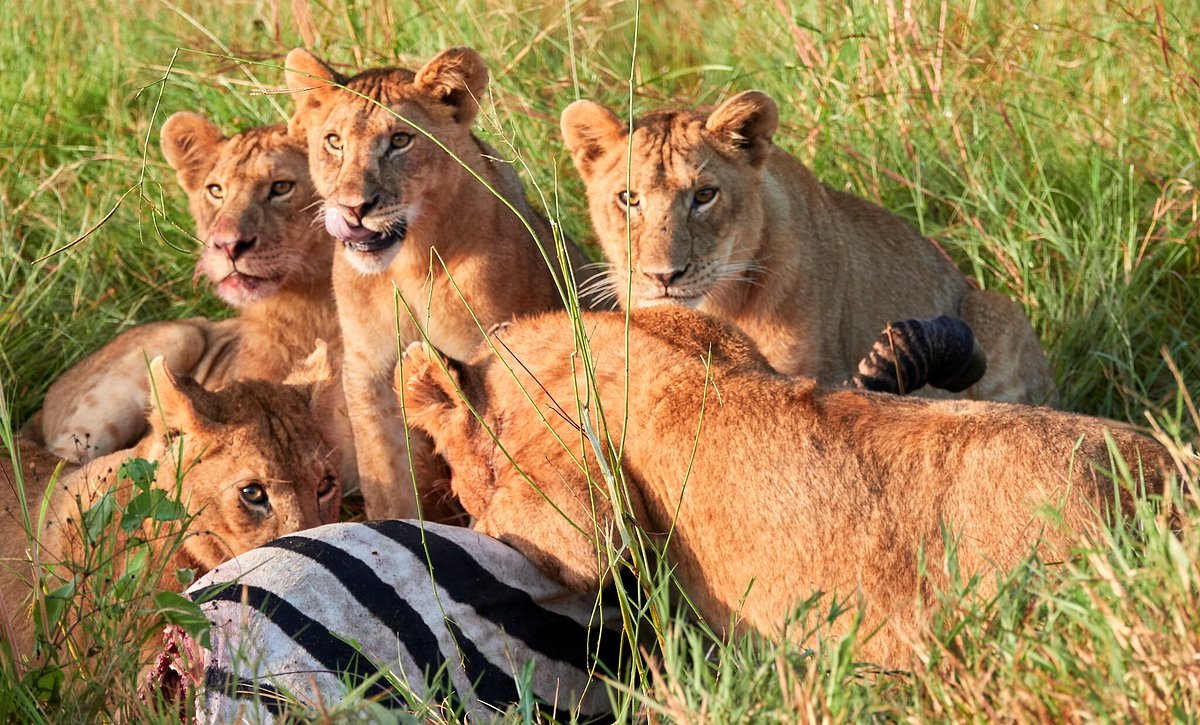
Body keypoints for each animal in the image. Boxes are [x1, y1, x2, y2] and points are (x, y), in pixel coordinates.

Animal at [286, 46, 595, 520]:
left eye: (400, 141)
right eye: (334, 141)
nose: (354, 208)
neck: (408, 266)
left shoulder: (488, 355)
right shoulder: (368, 371)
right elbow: (386, 477)